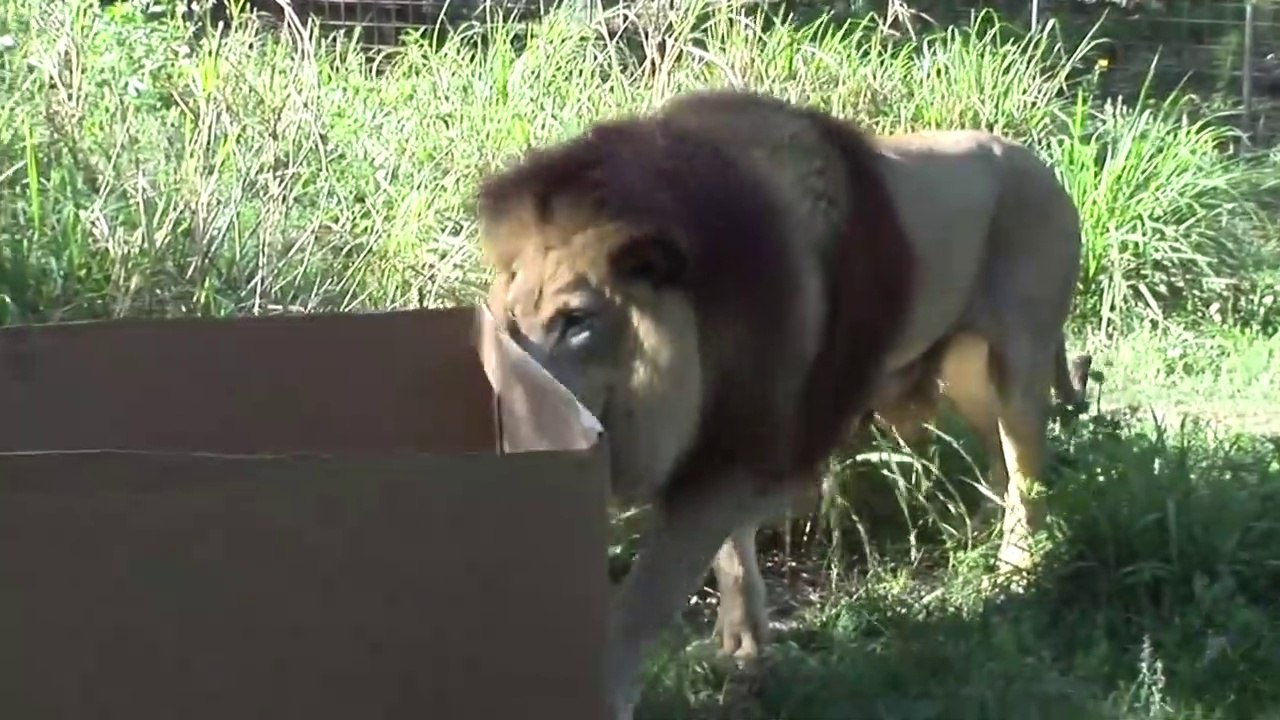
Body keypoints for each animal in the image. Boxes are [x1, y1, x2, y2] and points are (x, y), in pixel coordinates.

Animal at [472, 88, 1086, 720]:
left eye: (575, 321)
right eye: (513, 320)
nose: (514, 393)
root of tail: (1037, 163)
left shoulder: (736, 449)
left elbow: (643, 603)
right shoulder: (723, 439)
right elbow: (733, 555)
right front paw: (742, 647)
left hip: (1021, 359)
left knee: (1028, 471)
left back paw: (1016, 567)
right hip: (966, 372)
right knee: (998, 456)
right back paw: (983, 526)